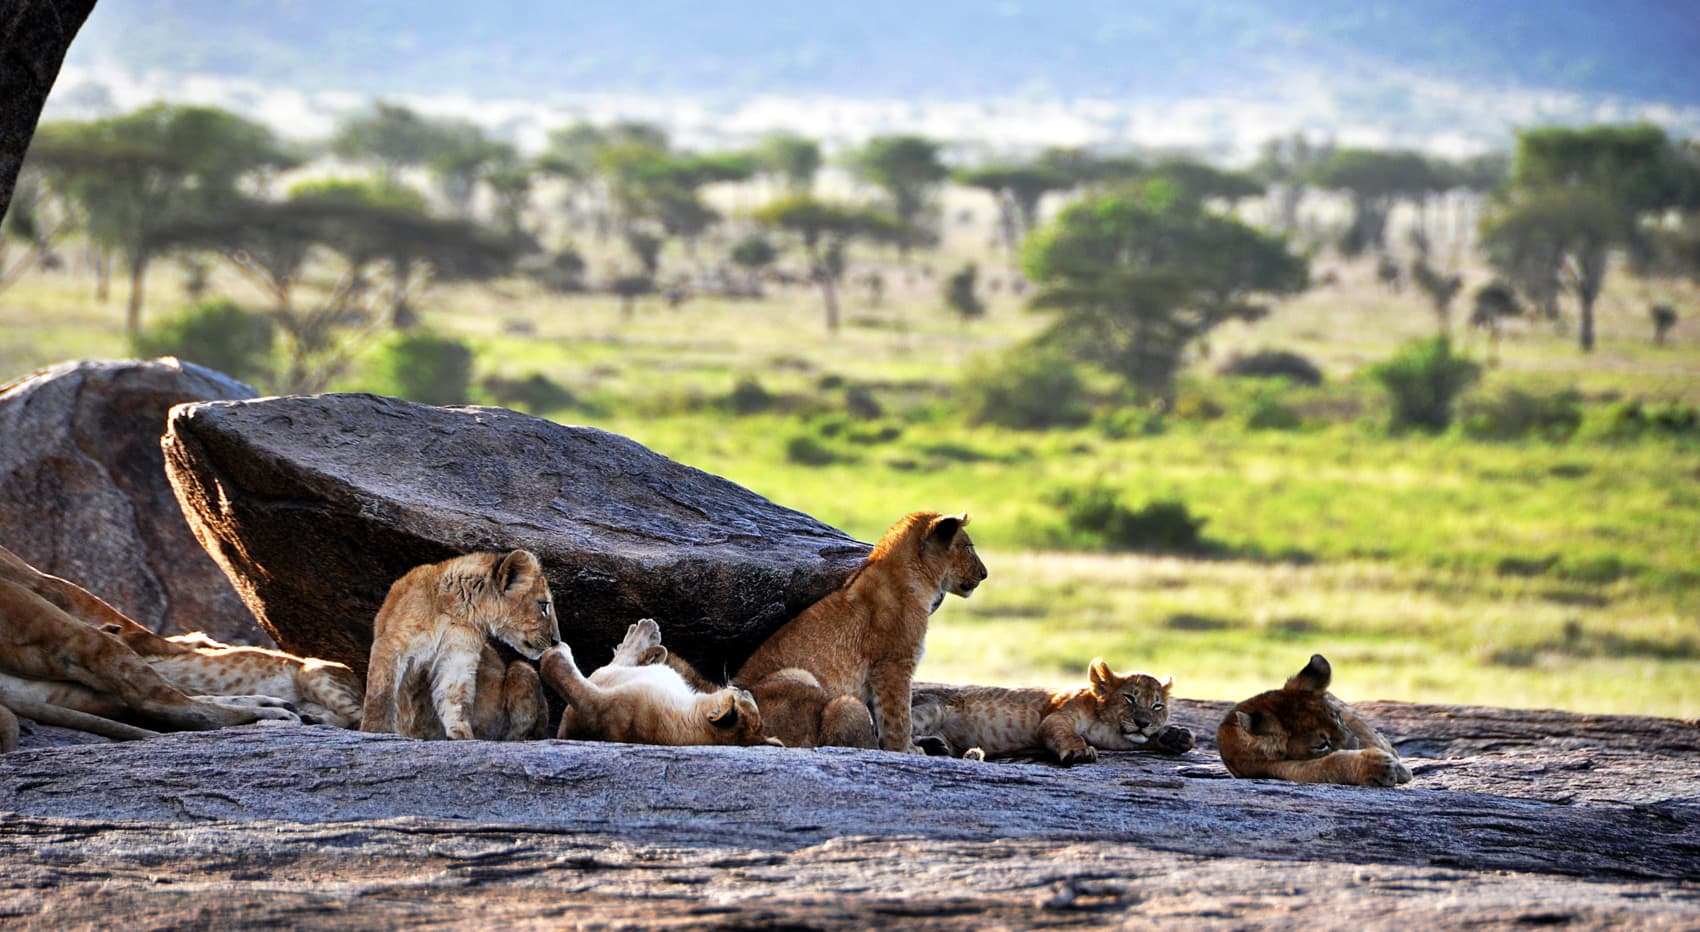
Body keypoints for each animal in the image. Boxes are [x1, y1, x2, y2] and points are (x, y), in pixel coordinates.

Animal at [360, 550, 556, 741]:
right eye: (543, 605)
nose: (556, 641)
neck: (457, 610)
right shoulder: (391, 643)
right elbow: (381, 694)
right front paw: (376, 731)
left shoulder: (458, 652)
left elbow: (456, 693)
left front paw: (463, 733)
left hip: (522, 668)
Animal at [733, 511, 988, 753]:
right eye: (967, 547)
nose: (984, 574)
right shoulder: (893, 665)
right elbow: (899, 720)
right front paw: (908, 752)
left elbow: (884, 717)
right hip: (798, 679)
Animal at [911, 659, 1195, 765]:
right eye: (1129, 698)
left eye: (1157, 706)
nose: (1143, 722)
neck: (1104, 720)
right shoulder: (1056, 716)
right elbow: (1068, 733)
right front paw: (1080, 752)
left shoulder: (1113, 738)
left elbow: (1138, 741)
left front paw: (1176, 737)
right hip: (933, 707)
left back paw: (942, 748)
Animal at [1217, 653, 1412, 787]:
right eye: (1321, 745)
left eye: (1337, 719)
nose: (1356, 746)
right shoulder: (1274, 769)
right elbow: (1328, 766)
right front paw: (1379, 767)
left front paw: (1399, 769)